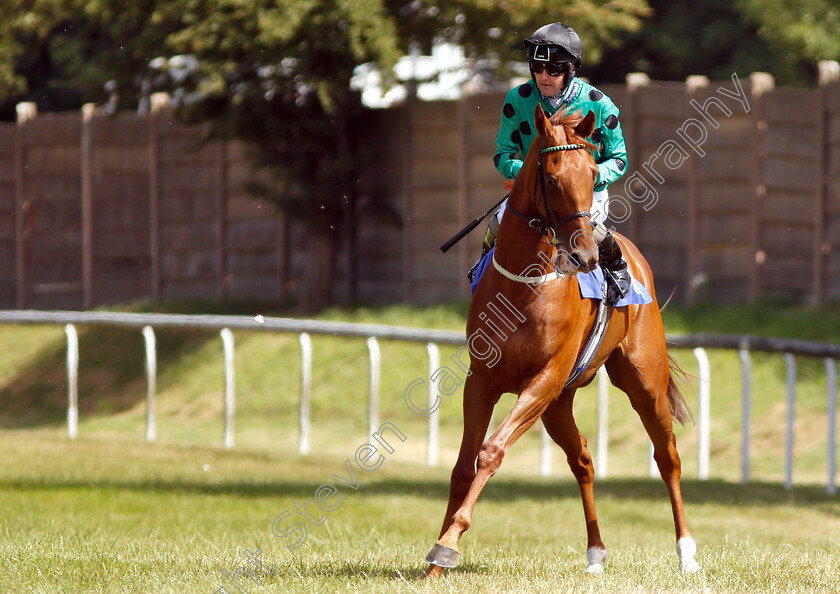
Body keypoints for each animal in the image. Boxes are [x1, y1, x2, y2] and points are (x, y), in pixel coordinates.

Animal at [424, 104, 700, 576]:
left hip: (643, 381)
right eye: (552, 179)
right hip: (558, 405)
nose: (586, 255)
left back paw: (686, 552)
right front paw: (438, 559)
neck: (524, 288)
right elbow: (463, 465)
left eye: (592, 174)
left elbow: (491, 452)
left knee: (668, 456)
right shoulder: (483, 381)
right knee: (583, 458)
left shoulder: (543, 379)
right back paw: (595, 553)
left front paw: (448, 544)